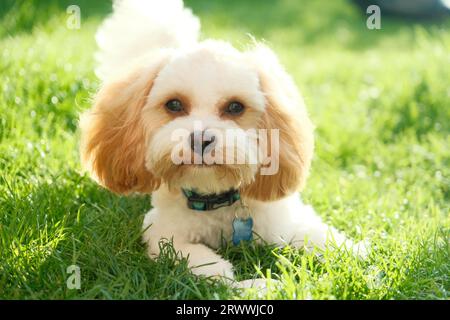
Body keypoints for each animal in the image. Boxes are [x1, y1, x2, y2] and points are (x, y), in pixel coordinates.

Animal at [80, 0, 366, 284]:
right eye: (174, 104)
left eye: (235, 107)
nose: (200, 139)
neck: (216, 200)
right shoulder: (161, 231)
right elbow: (199, 259)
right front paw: (234, 279)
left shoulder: (284, 218)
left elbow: (319, 235)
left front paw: (357, 255)